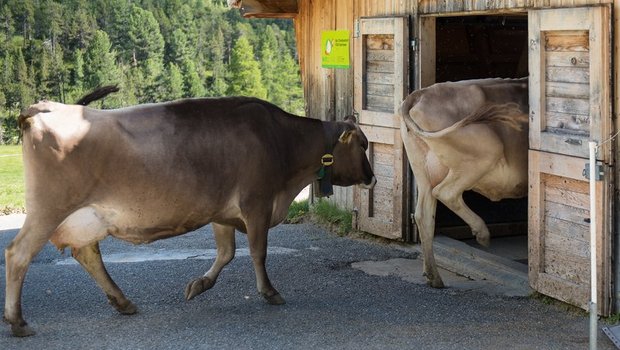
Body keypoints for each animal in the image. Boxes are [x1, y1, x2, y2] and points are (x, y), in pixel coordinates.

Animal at [4, 91, 376, 338]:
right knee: (18, 254)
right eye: (363, 144)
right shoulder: (257, 202)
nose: (372, 178)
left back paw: (123, 302)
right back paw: (17, 321)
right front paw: (269, 292)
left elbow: (226, 253)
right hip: (48, 209)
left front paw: (199, 285)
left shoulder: (222, 211)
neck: (281, 141)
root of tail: (44, 108)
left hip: (88, 217)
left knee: (87, 255)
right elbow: (258, 252)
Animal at [398, 78, 528, 288]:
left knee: (423, 214)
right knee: (445, 193)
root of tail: (419, 94)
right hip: (487, 151)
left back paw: (434, 276)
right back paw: (482, 233)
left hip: (423, 169)